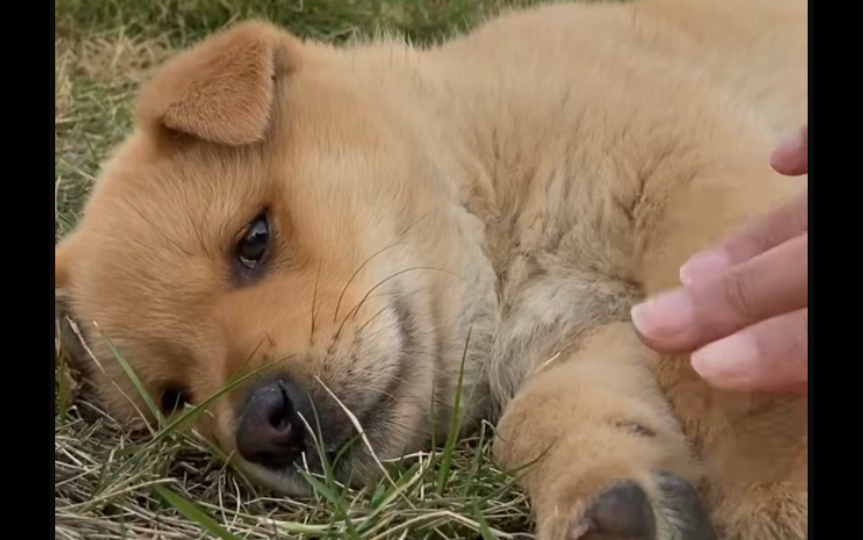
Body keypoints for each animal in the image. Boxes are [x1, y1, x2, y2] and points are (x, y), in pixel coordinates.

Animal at [55, 0, 808, 536]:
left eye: (254, 239)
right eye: (176, 399)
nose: (264, 425)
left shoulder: (696, 190)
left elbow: (734, 380)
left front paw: (780, 496)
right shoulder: (589, 335)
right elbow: (542, 415)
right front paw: (611, 494)